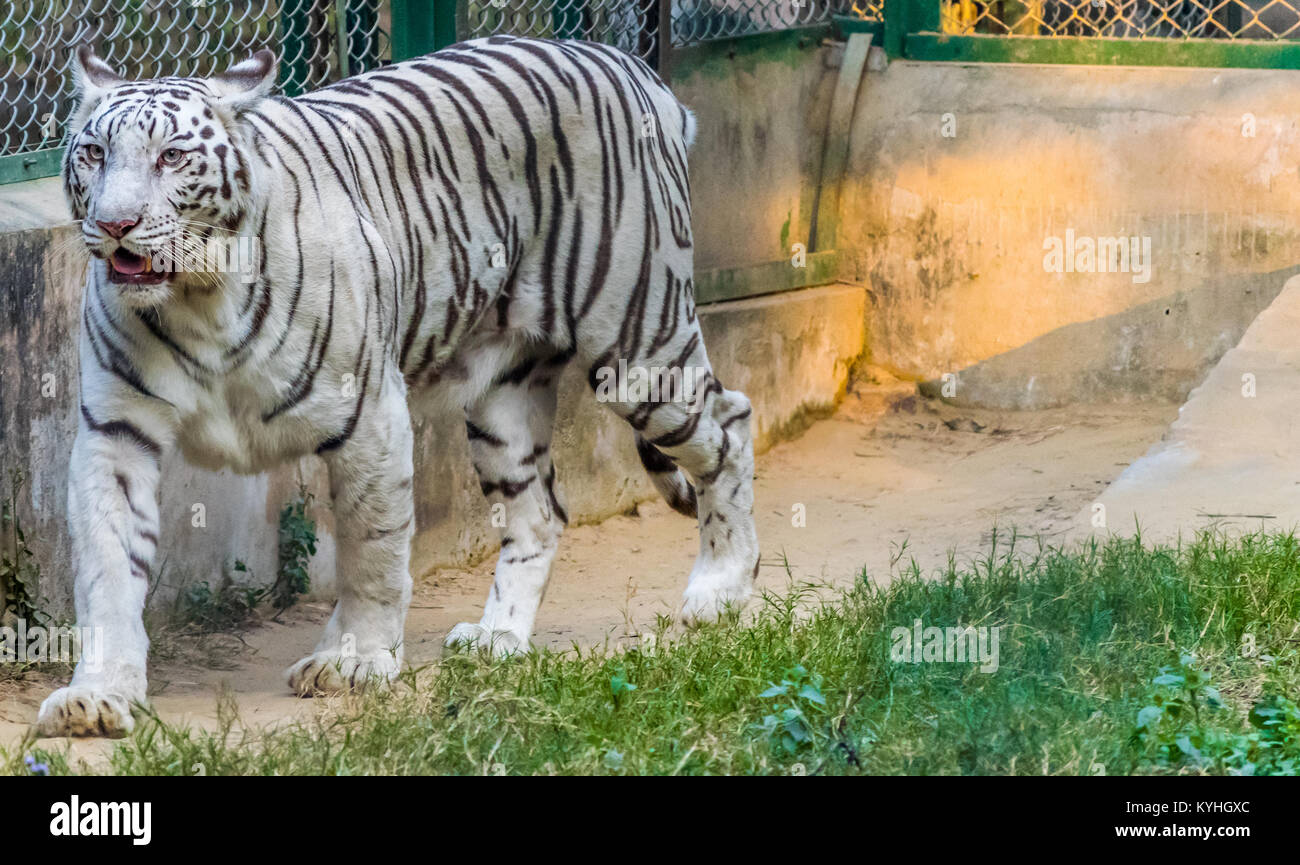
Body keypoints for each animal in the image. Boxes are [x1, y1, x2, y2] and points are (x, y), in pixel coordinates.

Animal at [38, 35, 759, 733]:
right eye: (95, 154)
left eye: (172, 157)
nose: (115, 224)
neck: (199, 299)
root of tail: (633, 65)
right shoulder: (115, 432)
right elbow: (107, 566)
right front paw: (97, 694)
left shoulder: (369, 415)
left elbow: (371, 551)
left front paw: (353, 661)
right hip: (502, 399)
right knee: (541, 512)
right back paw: (498, 637)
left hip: (640, 349)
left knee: (730, 425)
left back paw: (721, 590)